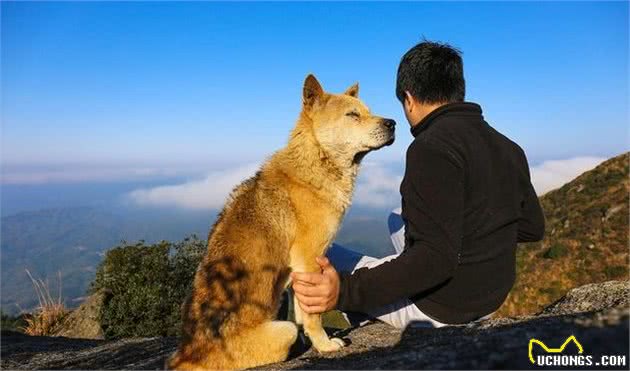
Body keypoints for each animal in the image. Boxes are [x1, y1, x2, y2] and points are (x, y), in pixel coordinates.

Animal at [168, 74, 396, 370]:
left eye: (369, 111)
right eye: (352, 115)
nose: (393, 123)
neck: (316, 161)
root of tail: (186, 357)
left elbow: (302, 312)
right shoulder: (308, 260)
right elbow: (312, 316)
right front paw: (324, 345)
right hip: (281, 331)